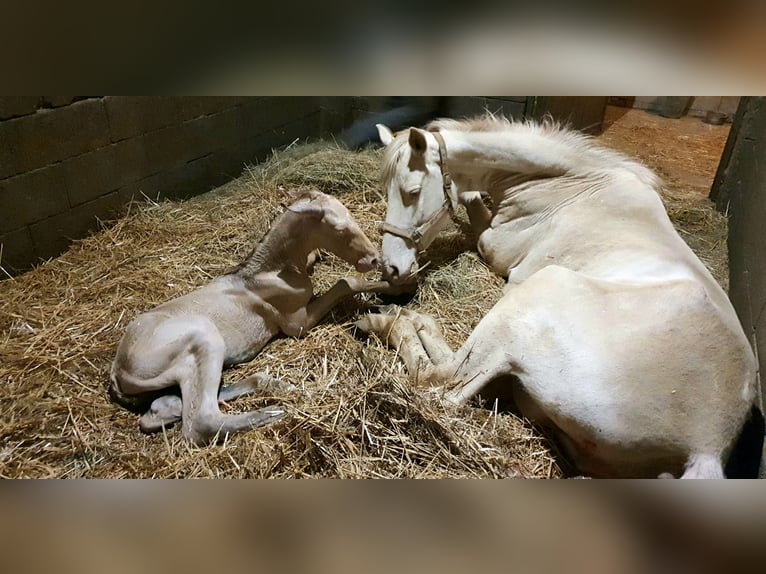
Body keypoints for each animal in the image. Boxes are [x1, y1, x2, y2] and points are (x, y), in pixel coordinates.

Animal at [109, 191, 384, 448]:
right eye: (338, 229)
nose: (373, 259)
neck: (273, 271)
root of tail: (118, 371)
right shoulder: (296, 323)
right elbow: (346, 282)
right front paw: (391, 282)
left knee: (167, 407)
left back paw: (279, 388)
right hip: (203, 337)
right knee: (201, 422)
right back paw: (276, 411)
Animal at [356, 117, 760, 482]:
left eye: (411, 191)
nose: (392, 269)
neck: (567, 185)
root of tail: (706, 447)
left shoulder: (495, 246)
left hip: (539, 292)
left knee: (442, 384)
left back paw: (386, 320)